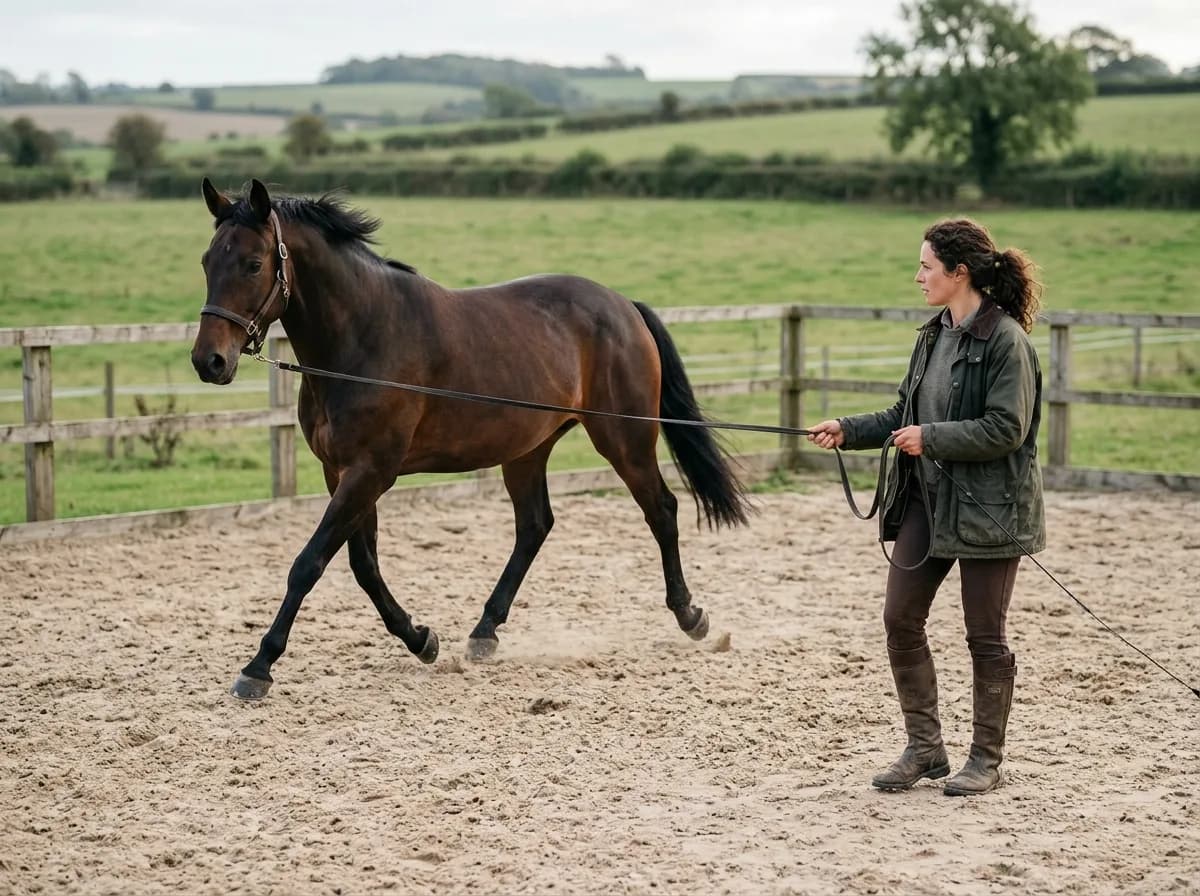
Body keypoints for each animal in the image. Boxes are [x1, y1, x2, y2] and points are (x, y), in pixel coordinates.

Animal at [192, 177, 752, 700]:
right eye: (206, 261)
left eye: (253, 263)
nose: (209, 362)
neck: (363, 338)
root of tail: (624, 307)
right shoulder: (343, 473)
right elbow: (363, 565)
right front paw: (421, 638)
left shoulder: (371, 471)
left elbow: (308, 564)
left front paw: (258, 667)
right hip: (528, 450)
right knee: (535, 525)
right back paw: (485, 631)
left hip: (624, 439)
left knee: (661, 510)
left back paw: (690, 616)